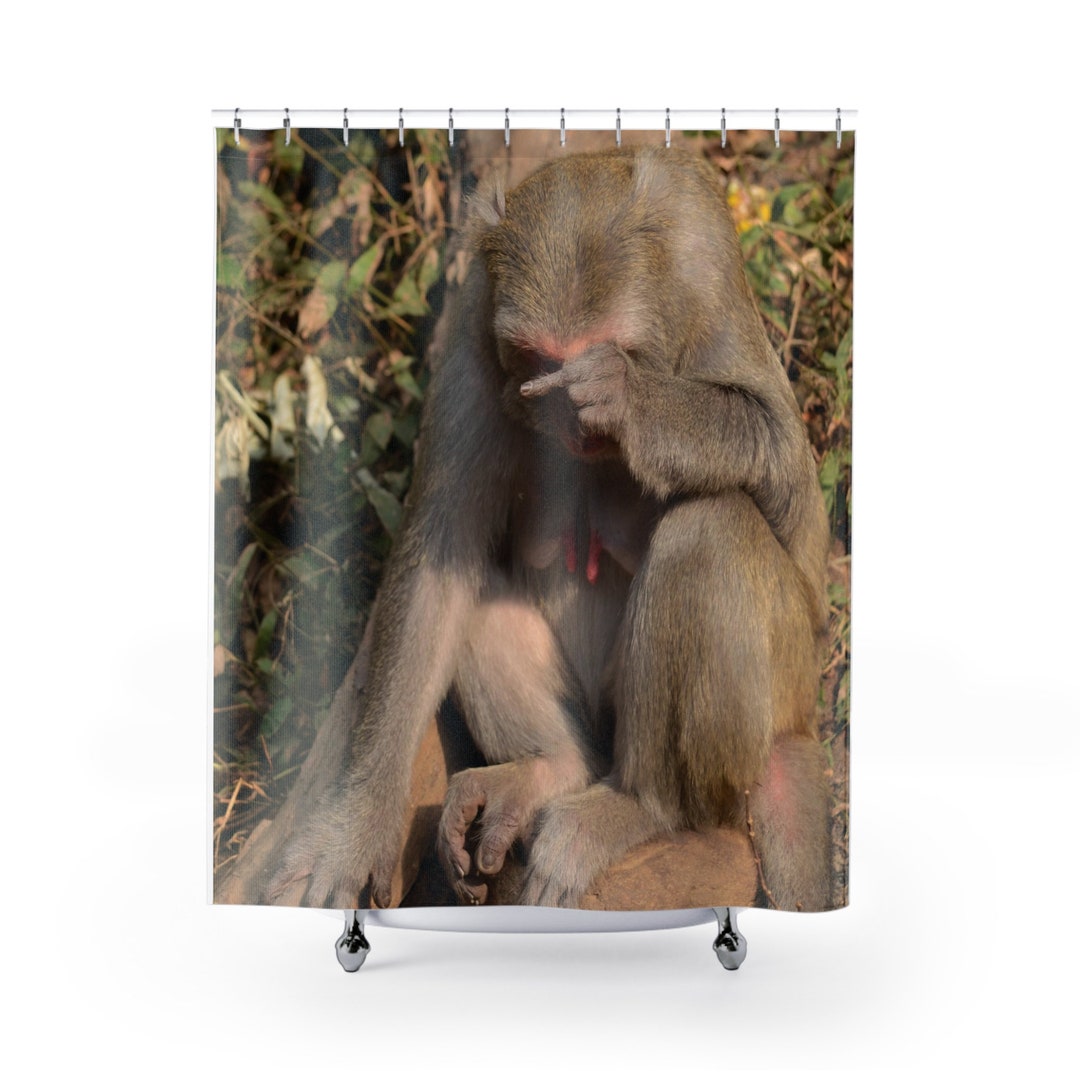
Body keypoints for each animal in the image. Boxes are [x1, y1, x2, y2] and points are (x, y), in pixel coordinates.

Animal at [270, 146, 834, 912]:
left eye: (591, 353)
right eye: (539, 358)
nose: (570, 415)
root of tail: (802, 718)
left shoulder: (705, 261)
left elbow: (784, 464)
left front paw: (629, 399)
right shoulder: (477, 315)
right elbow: (440, 552)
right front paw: (356, 827)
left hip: (781, 677)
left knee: (709, 531)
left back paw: (643, 807)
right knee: (472, 586)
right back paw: (551, 769)